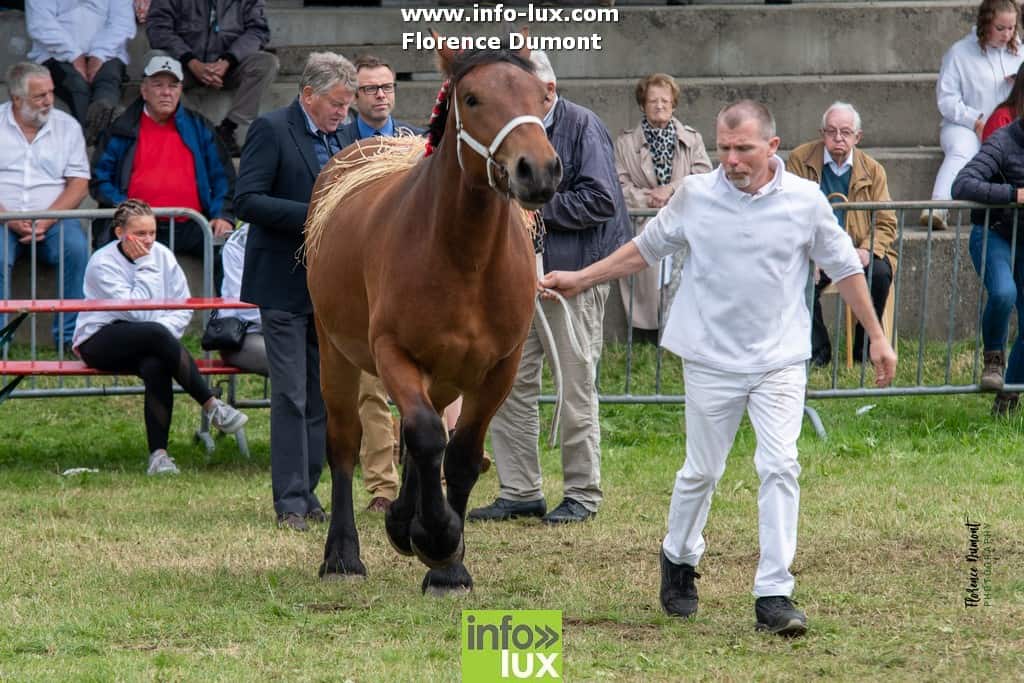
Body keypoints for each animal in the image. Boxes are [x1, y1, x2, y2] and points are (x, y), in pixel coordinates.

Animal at [303, 41, 565, 593]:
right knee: (346, 444)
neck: (463, 257)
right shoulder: (392, 353)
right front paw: (436, 536)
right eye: (472, 98)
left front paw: (447, 564)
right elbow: (425, 434)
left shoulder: (498, 368)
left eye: (539, 95)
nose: (538, 170)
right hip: (337, 355)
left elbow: (459, 454)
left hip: (444, 374)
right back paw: (343, 555)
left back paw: (404, 520)